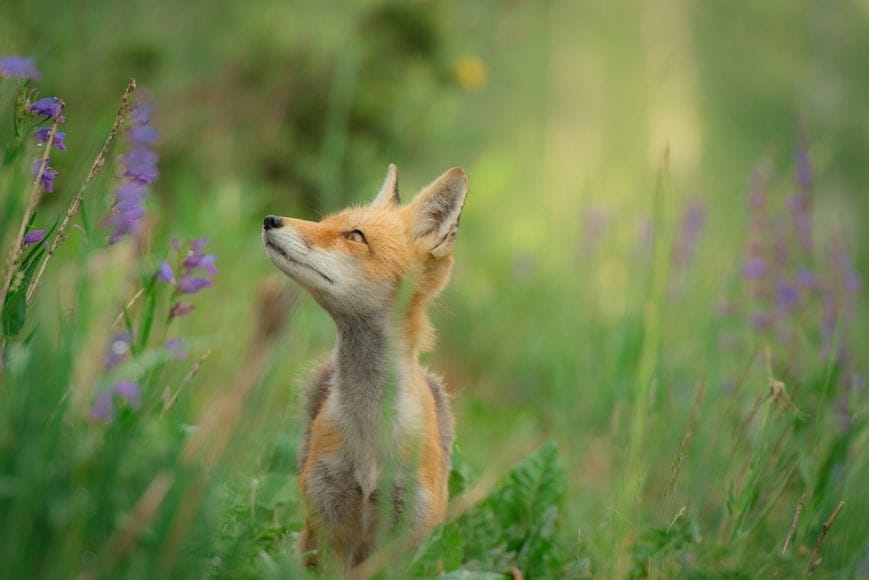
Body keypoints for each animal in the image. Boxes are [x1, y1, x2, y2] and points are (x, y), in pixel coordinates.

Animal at [262, 164, 468, 571]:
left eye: (354, 236)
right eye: (325, 221)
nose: (270, 219)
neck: (370, 437)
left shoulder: (404, 536)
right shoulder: (329, 525)